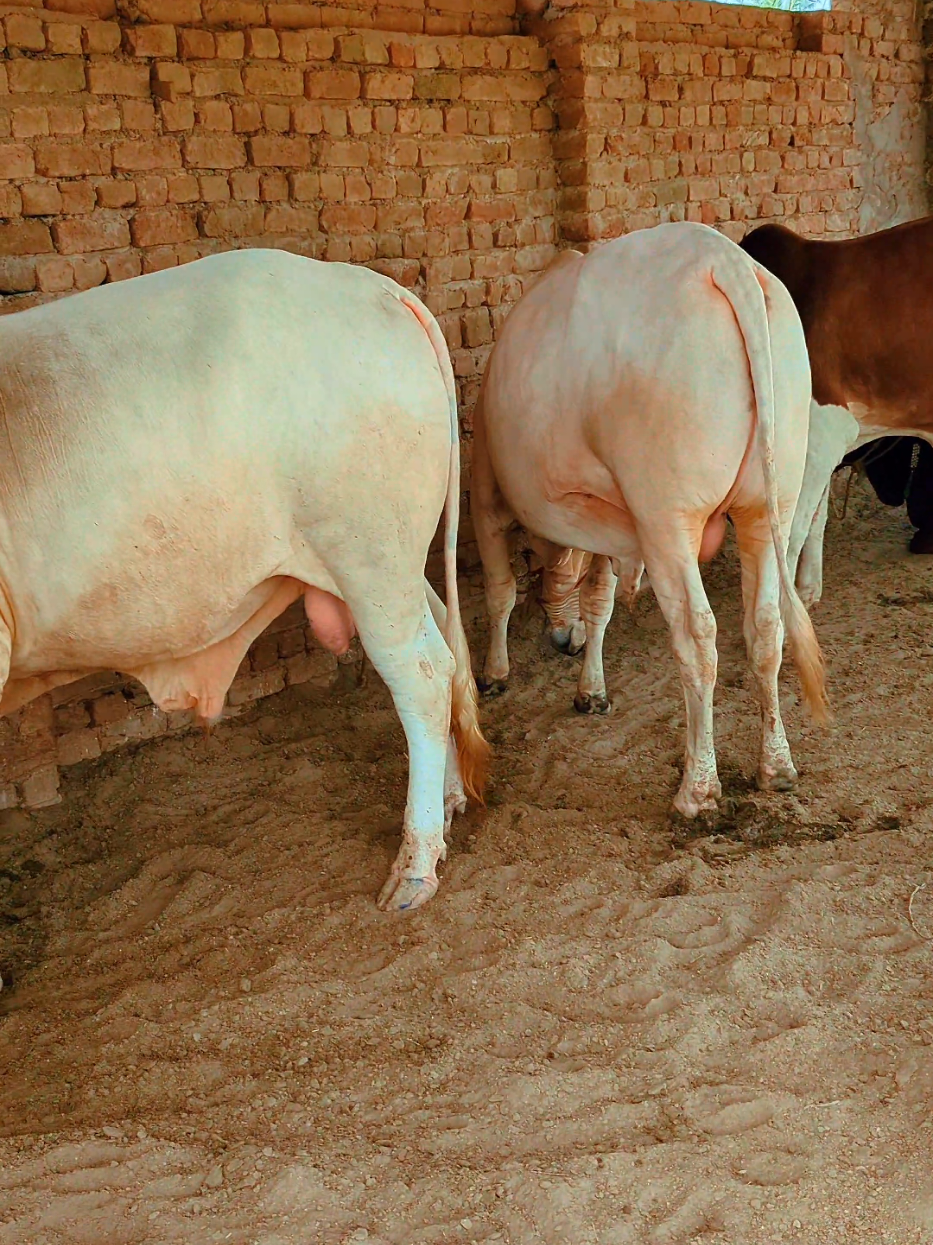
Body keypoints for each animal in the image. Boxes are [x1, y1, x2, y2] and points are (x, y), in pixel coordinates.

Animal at [0, 247, 488, 912]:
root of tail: (374, 285)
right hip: (390, 562)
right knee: (441, 635)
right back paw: (449, 803)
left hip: (370, 555)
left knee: (424, 677)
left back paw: (414, 865)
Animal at [471, 221, 827, 819]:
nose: (560, 640)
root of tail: (723, 259)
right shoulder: (612, 524)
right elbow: (599, 600)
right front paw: (591, 688)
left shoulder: (489, 501)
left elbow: (501, 592)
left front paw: (495, 674)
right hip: (768, 503)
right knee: (766, 625)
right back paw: (775, 766)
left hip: (666, 517)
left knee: (698, 635)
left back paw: (698, 791)